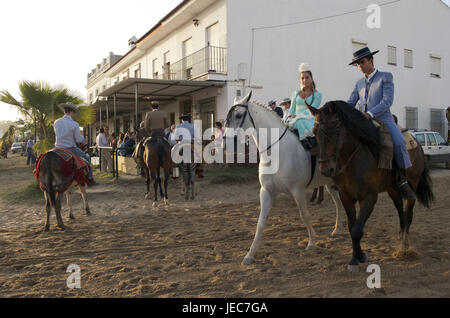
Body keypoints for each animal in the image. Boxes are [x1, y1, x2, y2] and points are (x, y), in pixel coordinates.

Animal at [223, 92, 342, 266]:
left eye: (238, 115)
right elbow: (260, 222)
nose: (225, 142)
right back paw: (337, 229)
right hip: (330, 184)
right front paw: (249, 255)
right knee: (339, 204)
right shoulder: (266, 192)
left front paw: (312, 243)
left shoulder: (297, 191)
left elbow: (305, 215)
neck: (277, 150)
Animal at [308, 100, 434, 272]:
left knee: (408, 211)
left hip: (412, 183)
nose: (325, 169)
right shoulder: (346, 196)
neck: (353, 159)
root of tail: (418, 144)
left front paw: (356, 260)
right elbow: (352, 227)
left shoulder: (369, 197)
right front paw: (358, 256)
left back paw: (405, 245)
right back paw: (401, 235)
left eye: (334, 131)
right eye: (315, 132)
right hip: (392, 189)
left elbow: (357, 229)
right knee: (400, 209)